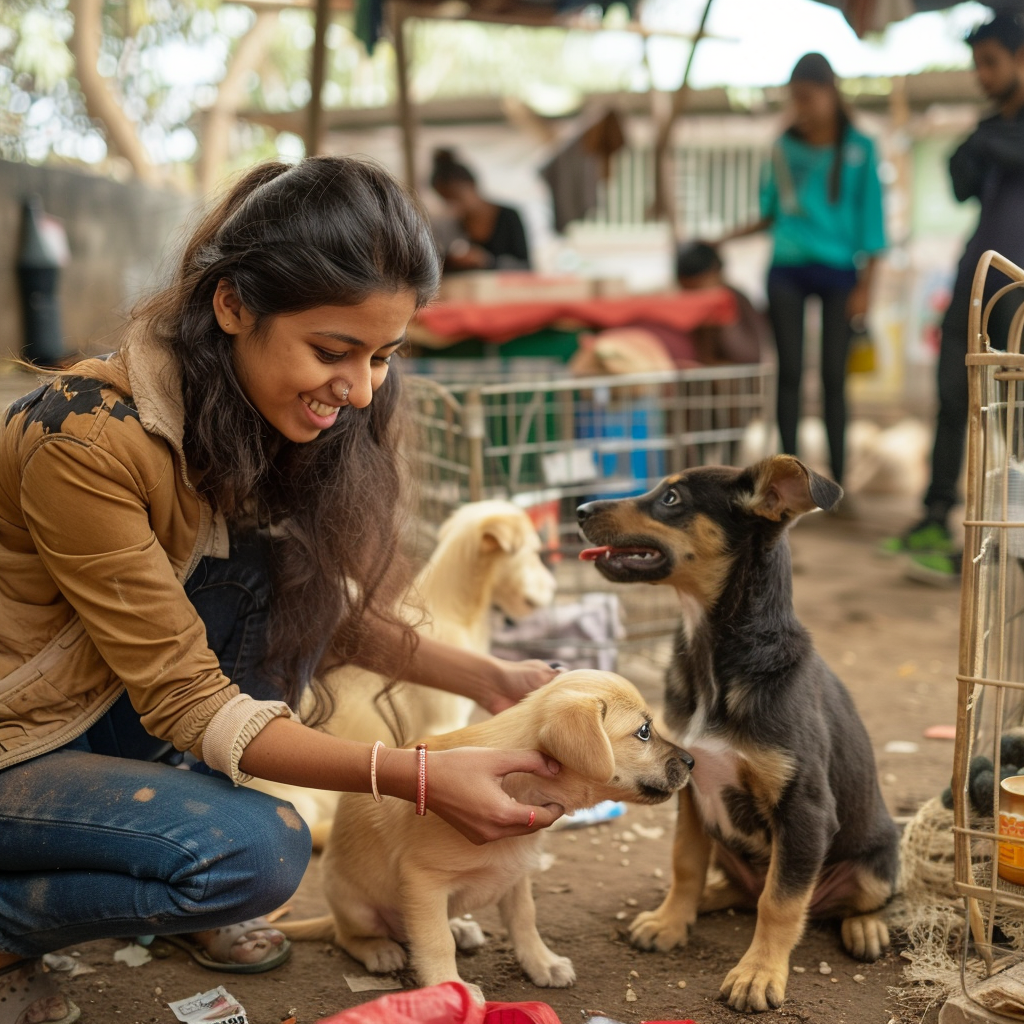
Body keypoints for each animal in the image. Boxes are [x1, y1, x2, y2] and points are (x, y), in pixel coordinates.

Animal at [278, 671, 696, 991]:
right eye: (644, 732)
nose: (692, 760)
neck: (520, 785)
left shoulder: (516, 876)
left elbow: (524, 922)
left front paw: (542, 963)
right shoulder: (423, 882)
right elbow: (435, 942)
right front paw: (449, 987)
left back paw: (461, 926)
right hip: (356, 906)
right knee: (346, 934)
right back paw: (379, 949)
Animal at [577, 458, 897, 1015]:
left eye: (672, 499)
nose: (578, 510)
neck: (714, 656)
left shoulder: (805, 809)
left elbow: (781, 900)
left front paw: (758, 974)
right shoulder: (688, 784)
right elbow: (685, 862)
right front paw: (670, 921)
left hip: (877, 860)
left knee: (853, 900)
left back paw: (865, 928)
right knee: (738, 887)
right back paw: (704, 900)